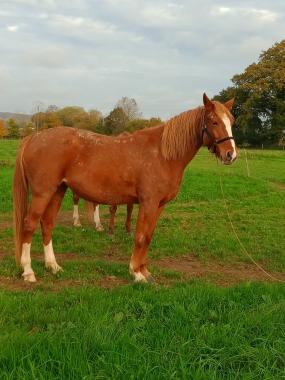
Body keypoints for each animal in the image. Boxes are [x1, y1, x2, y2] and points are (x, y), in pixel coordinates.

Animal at [12, 93, 235, 282]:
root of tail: (33, 138)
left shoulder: (158, 206)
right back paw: (28, 272)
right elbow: (140, 237)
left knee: (47, 224)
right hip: (42, 193)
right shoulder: (148, 203)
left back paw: (53, 266)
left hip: (58, 191)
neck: (162, 154)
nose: (230, 154)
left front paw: (145, 271)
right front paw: (136, 273)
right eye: (214, 121)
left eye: (231, 121)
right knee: (29, 225)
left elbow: (148, 237)